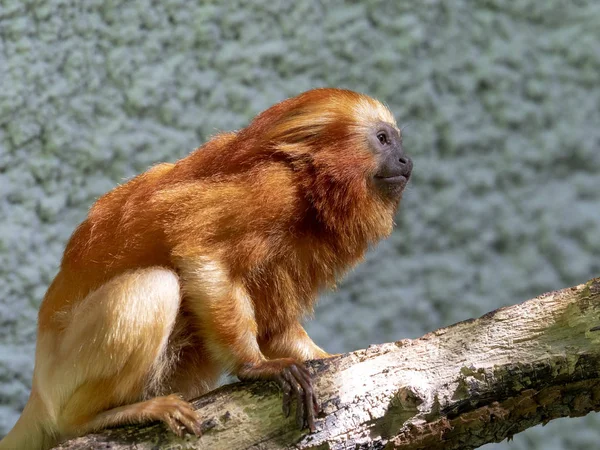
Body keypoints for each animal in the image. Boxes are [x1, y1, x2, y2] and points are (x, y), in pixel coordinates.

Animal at [0, 88, 412, 450]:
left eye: (397, 142)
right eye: (383, 139)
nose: (406, 161)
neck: (308, 180)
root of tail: (39, 383)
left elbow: (275, 323)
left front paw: (320, 358)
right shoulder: (270, 189)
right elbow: (202, 255)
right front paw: (257, 367)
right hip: (65, 372)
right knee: (156, 285)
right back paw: (102, 417)